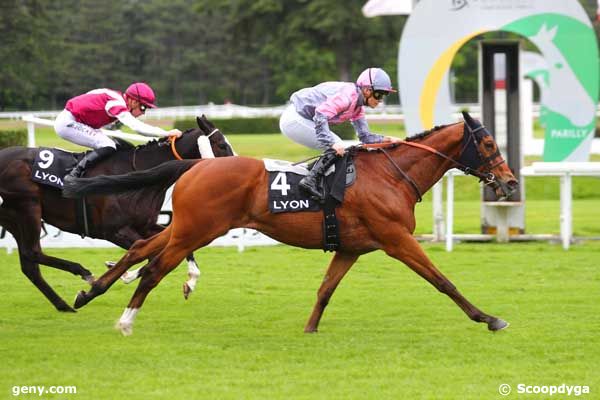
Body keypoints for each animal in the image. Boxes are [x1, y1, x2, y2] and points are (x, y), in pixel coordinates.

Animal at [0, 115, 234, 312]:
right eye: (222, 145)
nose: (235, 168)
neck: (137, 174)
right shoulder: (115, 231)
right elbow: (148, 254)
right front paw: (119, 274)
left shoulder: (145, 224)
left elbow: (176, 248)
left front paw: (190, 281)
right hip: (28, 208)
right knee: (33, 252)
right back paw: (82, 272)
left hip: (13, 216)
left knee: (29, 264)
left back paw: (63, 305)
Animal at [65, 111, 516, 334]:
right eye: (487, 143)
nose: (510, 182)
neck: (391, 175)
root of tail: (195, 164)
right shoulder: (396, 238)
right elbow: (442, 280)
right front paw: (489, 318)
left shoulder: (352, 247)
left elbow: (325, 290)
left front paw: (310, 329)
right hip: (197, 231)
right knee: (155, 268)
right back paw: (125, 321)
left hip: (186, 228)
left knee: (142, 249)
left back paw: (89, 292)